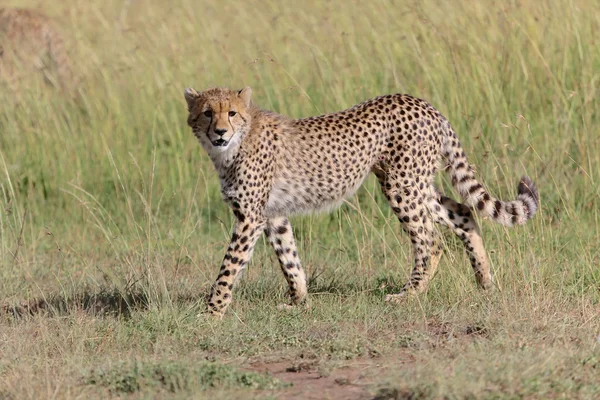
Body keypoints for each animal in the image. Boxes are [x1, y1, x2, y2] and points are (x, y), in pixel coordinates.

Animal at [184, 86, 540, 316]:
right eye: (207, 113)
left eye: (231, 113)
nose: (219, 132)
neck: (233, 145)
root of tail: (423, 103)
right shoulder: (273, 214)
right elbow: (289, 258)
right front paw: (299, 300)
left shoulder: (250, 217)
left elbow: (230, 265)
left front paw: (212, 310)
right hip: (415, 183)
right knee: (464, 211)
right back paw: (484, 280)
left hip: (401, 186)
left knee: (431, 240)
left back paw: (409, 294)